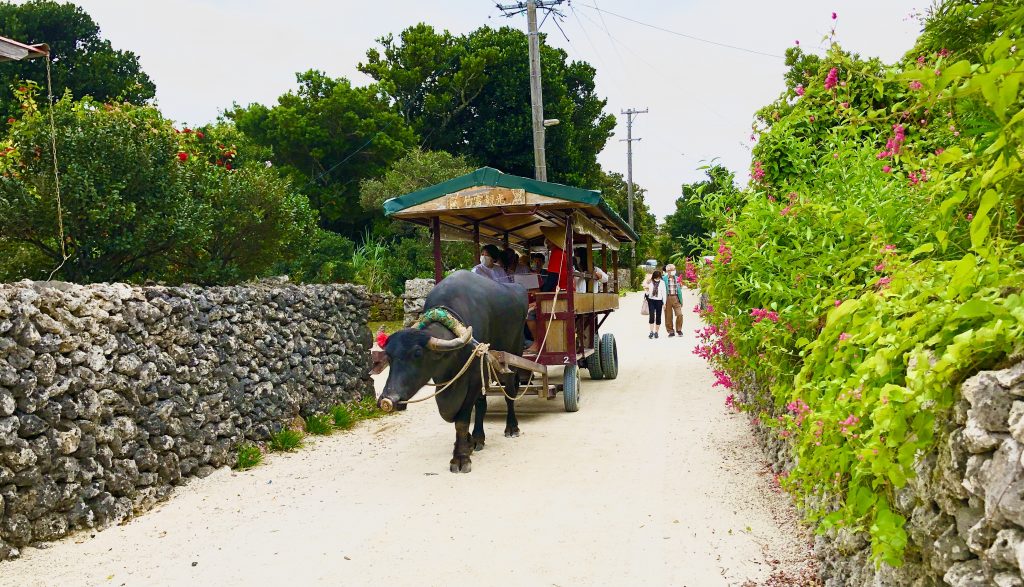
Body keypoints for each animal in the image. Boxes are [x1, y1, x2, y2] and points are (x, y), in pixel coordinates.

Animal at [382, 270, 532, 471]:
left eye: (417, 354)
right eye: (389, 356)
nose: (388, 399)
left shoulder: (474, 376)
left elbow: (461, 419)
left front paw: (461, 457)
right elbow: (452, 414)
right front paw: (468, 442)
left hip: (512, 357)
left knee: (510, 393)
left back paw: (512, 427)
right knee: (482, 402)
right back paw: (478, 438)